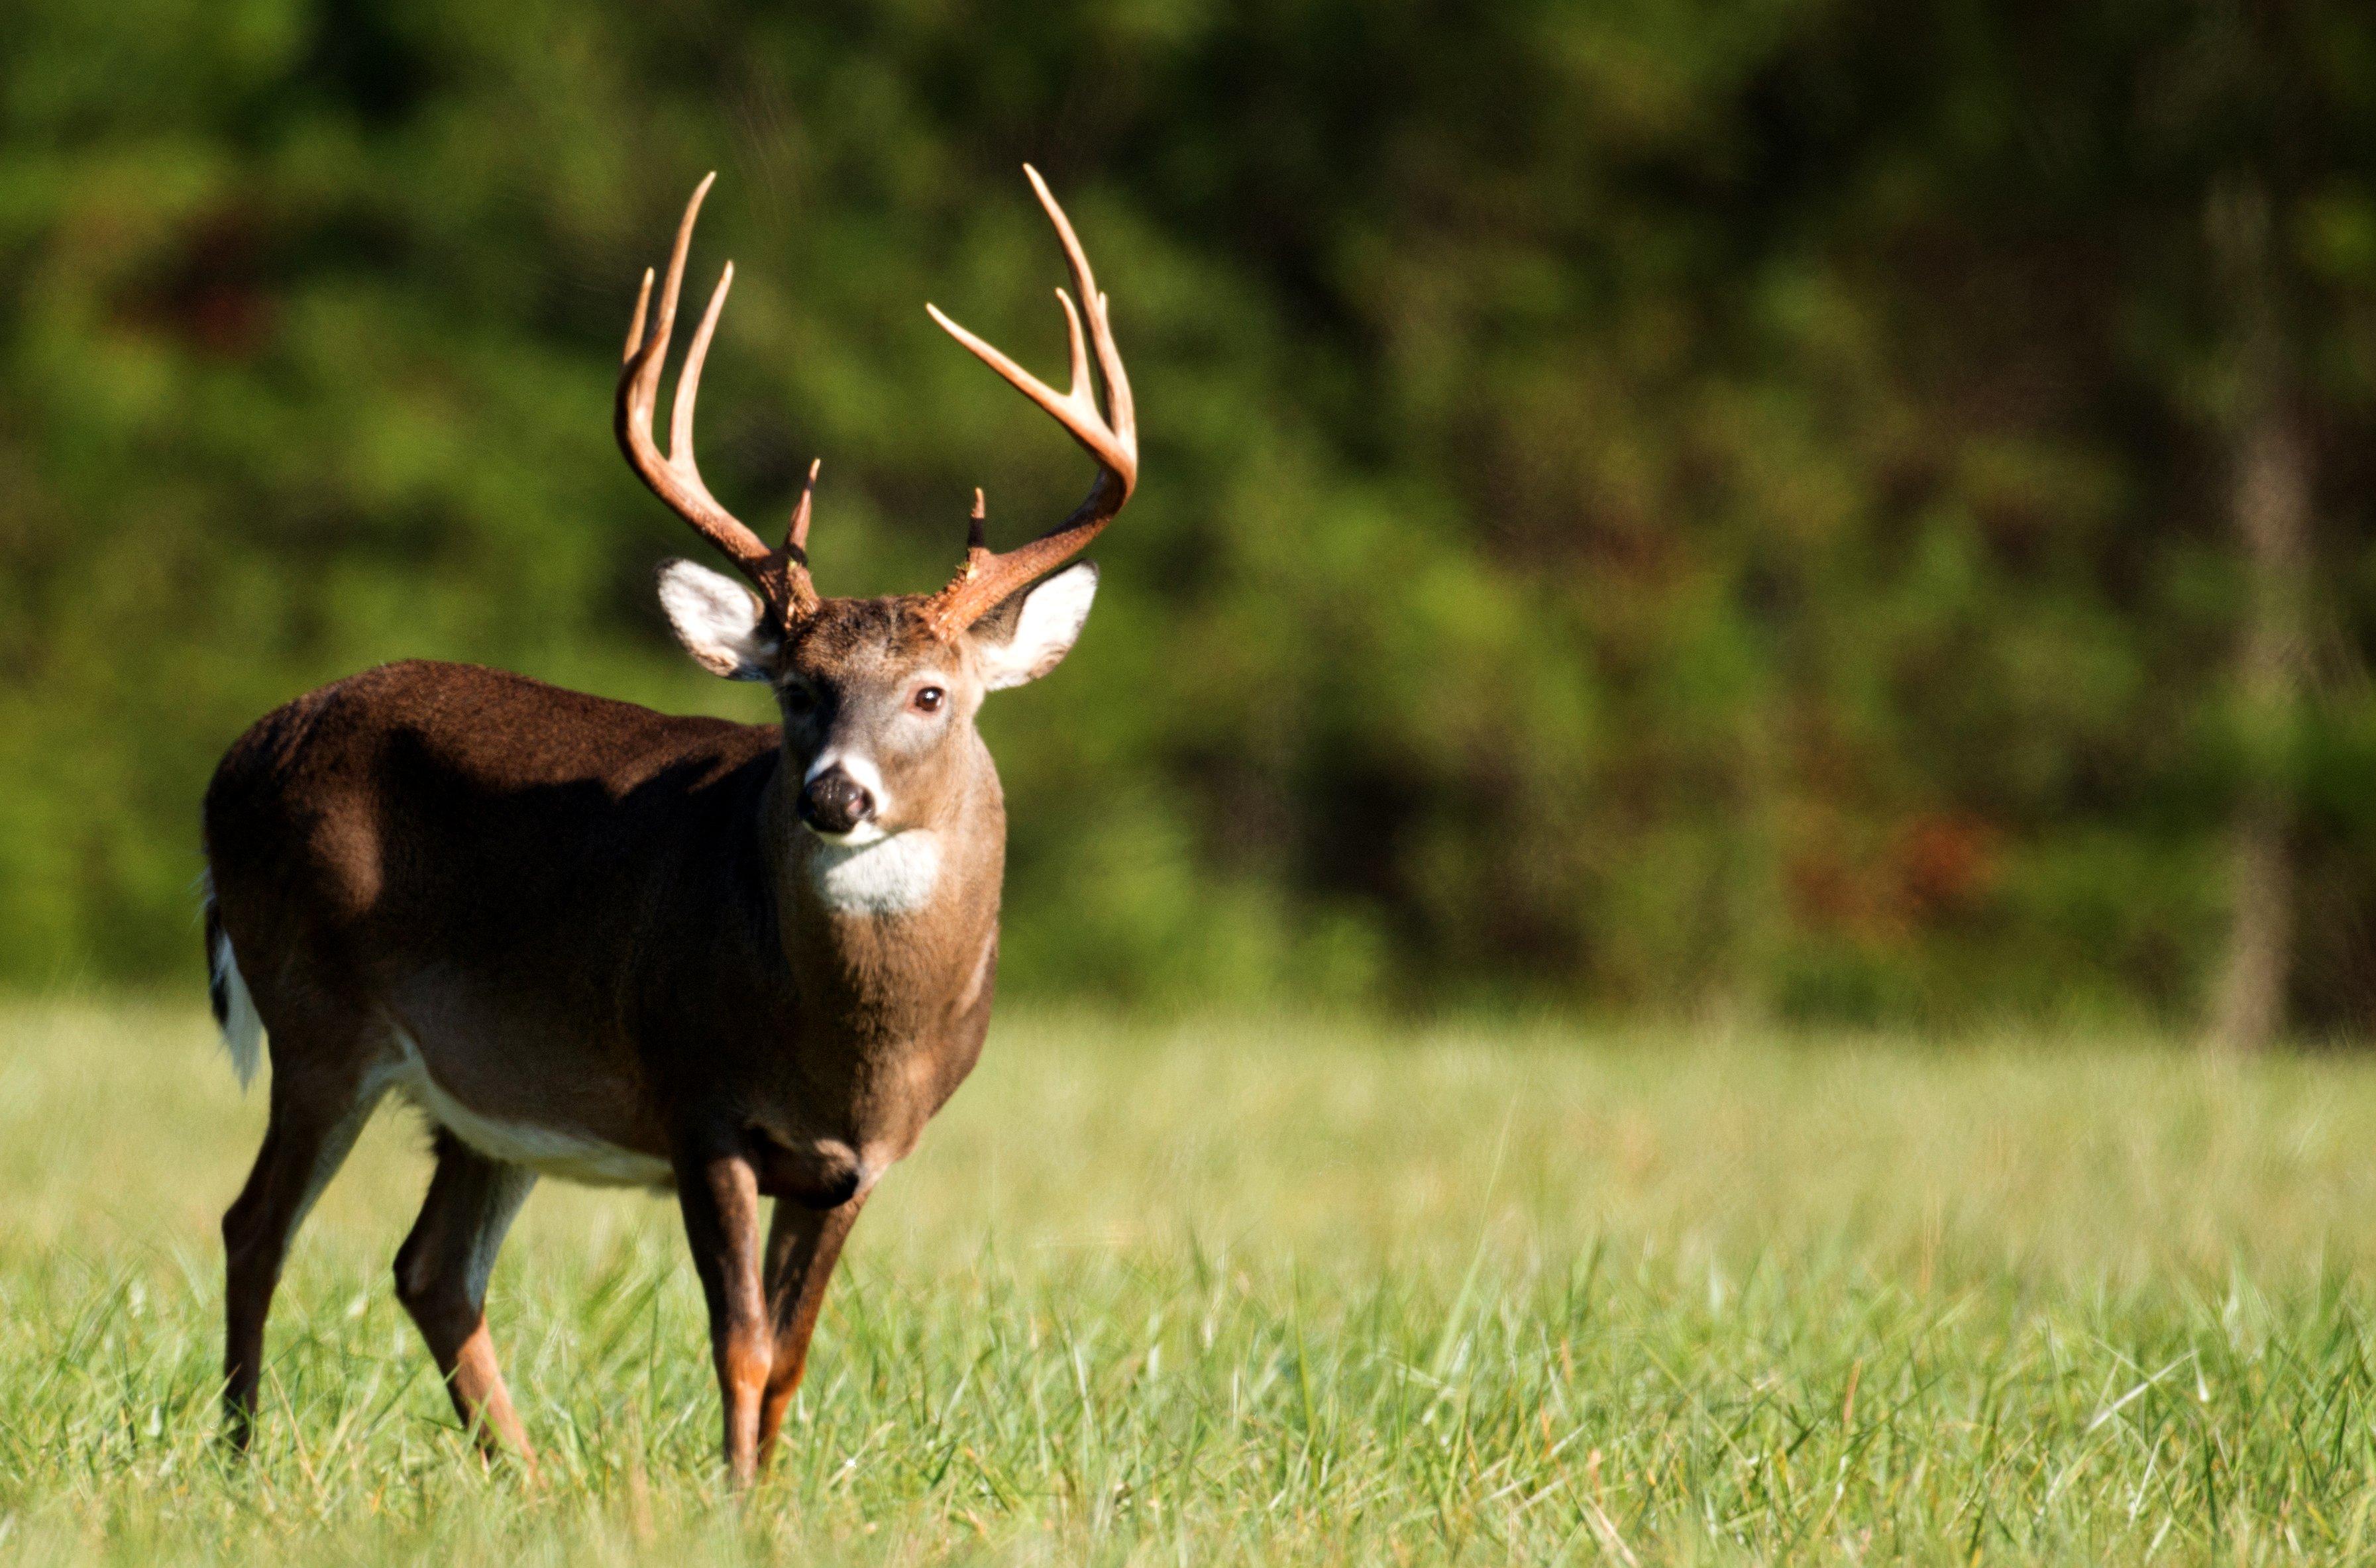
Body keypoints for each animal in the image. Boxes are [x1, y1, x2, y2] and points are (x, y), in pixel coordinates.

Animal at [199, 171, 1136, 1482]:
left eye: (930, 694)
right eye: (795, 688)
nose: (833, 794)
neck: (852, 1042)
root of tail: (239, 757)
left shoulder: (859, 1163)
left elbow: (789, 1357)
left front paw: (769, 1494)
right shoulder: (700, 1100)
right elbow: (738, 1343)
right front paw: (735, 1501)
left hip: (487, 1091)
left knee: (430, 1268)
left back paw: (528, 1481)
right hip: (316, 1012)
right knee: (256, 1224)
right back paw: (239, 1459)